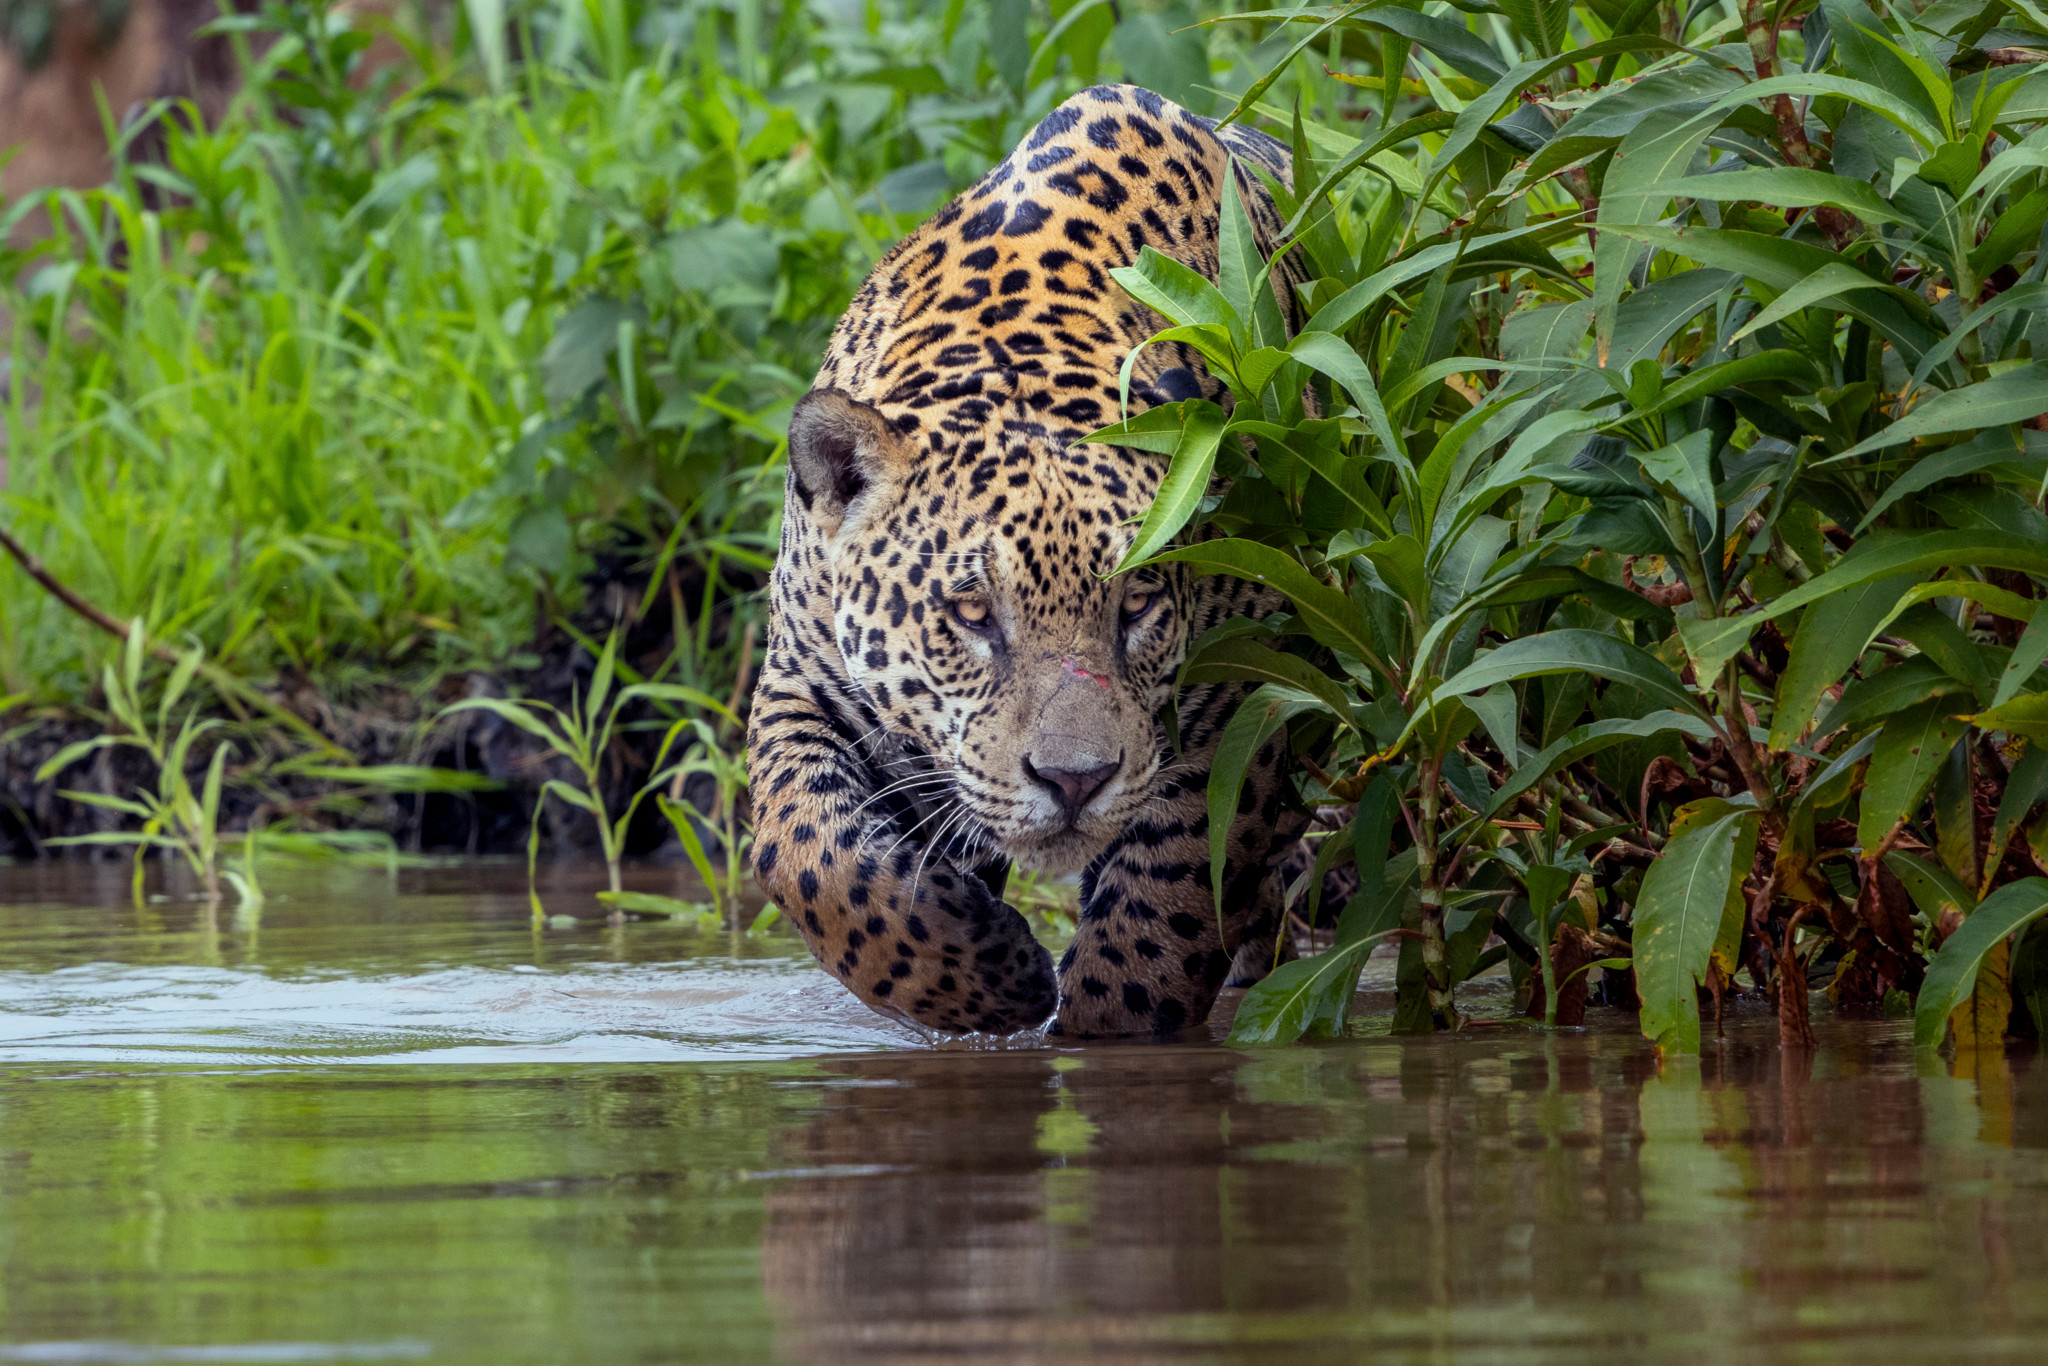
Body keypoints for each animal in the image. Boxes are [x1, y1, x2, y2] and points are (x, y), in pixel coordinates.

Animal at [746, 83, 1315, 1039]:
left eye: (1137, 608)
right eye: (973, 614)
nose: (1075, 782)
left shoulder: (1246, 690)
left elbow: (1165, 908)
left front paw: (1089, 1022)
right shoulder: (804, 679)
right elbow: (812, 854)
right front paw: (989, 978)